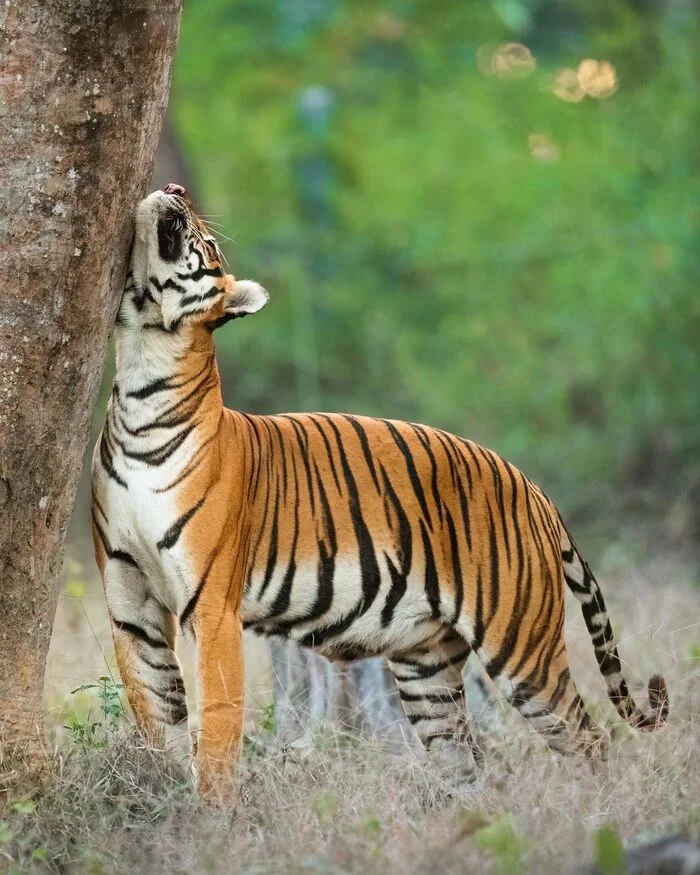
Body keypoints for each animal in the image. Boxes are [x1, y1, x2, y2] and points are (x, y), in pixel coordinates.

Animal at [90, 183, 668, 800]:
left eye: (209, 241)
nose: (176, 189)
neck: (141, 383)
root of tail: (536, 491)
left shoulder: (213, 605)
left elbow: (217, 721)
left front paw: (211, 812)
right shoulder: (129, 603)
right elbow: (154, 713)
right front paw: (161, 790)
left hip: (521, 648)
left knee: (588, 738)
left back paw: (595, 808)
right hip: (425, 669)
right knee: (466, 762)